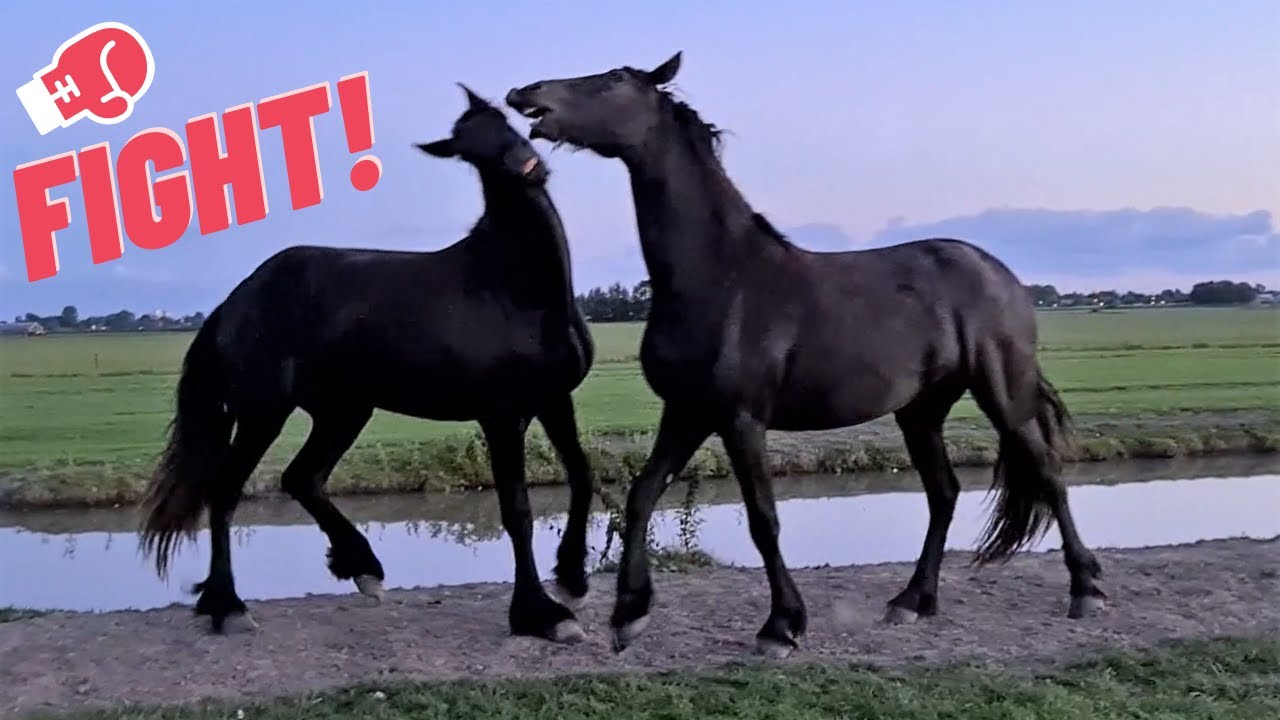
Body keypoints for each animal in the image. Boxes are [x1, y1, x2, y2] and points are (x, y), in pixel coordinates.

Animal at [138, 85, 596, 644]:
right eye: (467, 151)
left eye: (502, 119)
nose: (528, 167)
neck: (517, 289)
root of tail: (235, 301)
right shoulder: (502, 417)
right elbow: (518, 511)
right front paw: (541, 613)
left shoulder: (554, 400)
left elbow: (582, 474)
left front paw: (572, 578)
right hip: (264, 412)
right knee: (225, 490)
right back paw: (229, 606)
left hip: (343, 411)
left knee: (301, 478)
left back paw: (361, 568)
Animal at [505, 52, 1107, 658]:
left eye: (614, 80)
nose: (524, 93)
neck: (721, 277)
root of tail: (999, 273)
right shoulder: (687, 412)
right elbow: (642, 496)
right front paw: (630, 613)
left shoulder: (741, 419)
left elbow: (763, 519)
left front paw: (781, 625)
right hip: (921, 411)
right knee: (944, 493)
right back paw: (913, 601)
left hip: (1003, 393)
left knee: (1048, 473)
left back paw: (1086, 591)